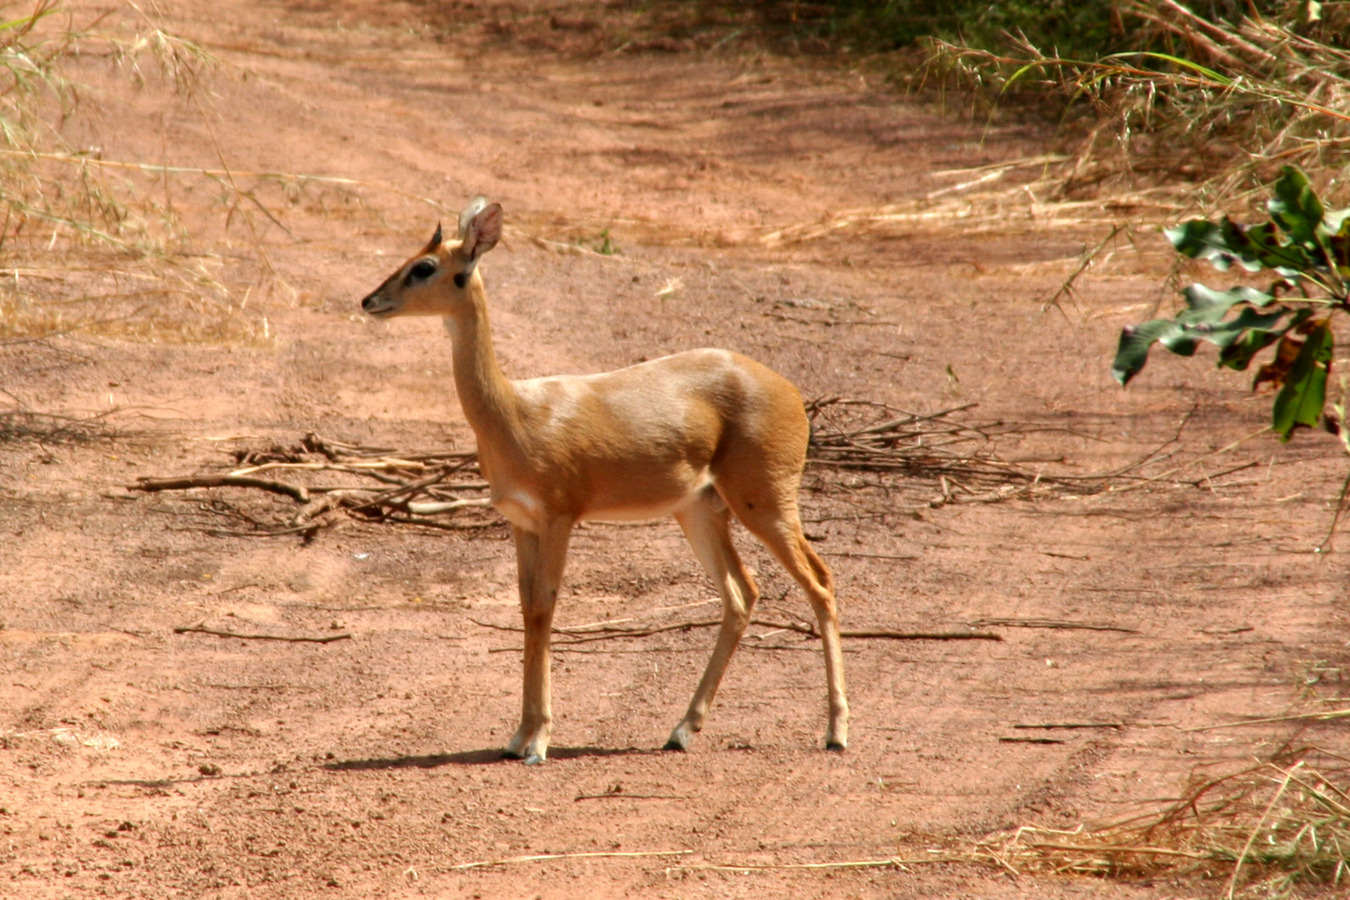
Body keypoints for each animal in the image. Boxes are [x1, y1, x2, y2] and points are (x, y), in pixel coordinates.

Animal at [356, 198, 842, 766]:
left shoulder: (560, 517)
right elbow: (527, 608)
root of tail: (792, 393)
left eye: (425, 266)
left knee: (820, 581)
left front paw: (538, 741)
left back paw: (836, 732)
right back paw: (681, 730)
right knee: (743, 593)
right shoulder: (521, 522)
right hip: (699, 510)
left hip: (764, 502)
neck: (515, 413)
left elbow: (545, 607)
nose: (370, 300)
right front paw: (518, 735)